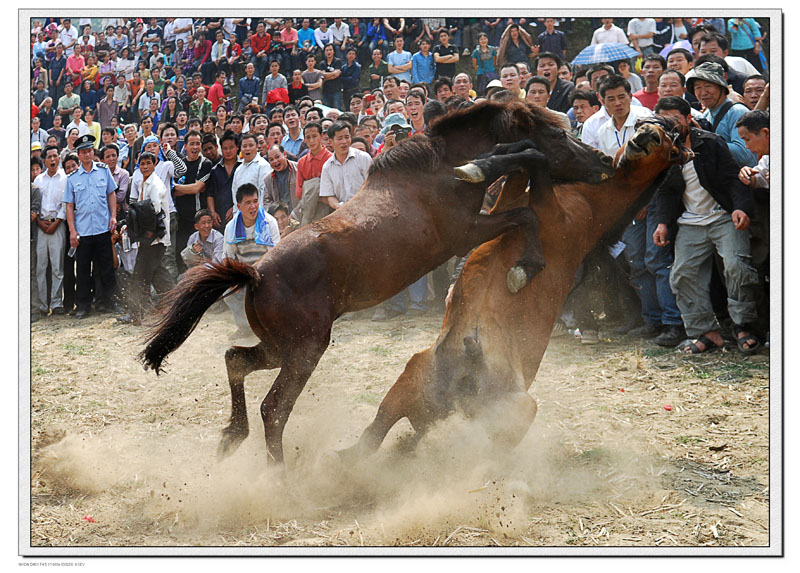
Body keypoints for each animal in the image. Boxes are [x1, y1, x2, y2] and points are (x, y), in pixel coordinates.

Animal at [139, 100, 612, 462]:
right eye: (558, 136)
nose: (604, 161)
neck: (437, 168)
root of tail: (255, 274)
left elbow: (523, 190)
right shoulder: (466, 230)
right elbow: (525, 199)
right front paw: (524, 264)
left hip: (281, 348)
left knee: (236, 361)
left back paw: (232, 437)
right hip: (305, 350)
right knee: (273, 408)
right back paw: (280, 476)